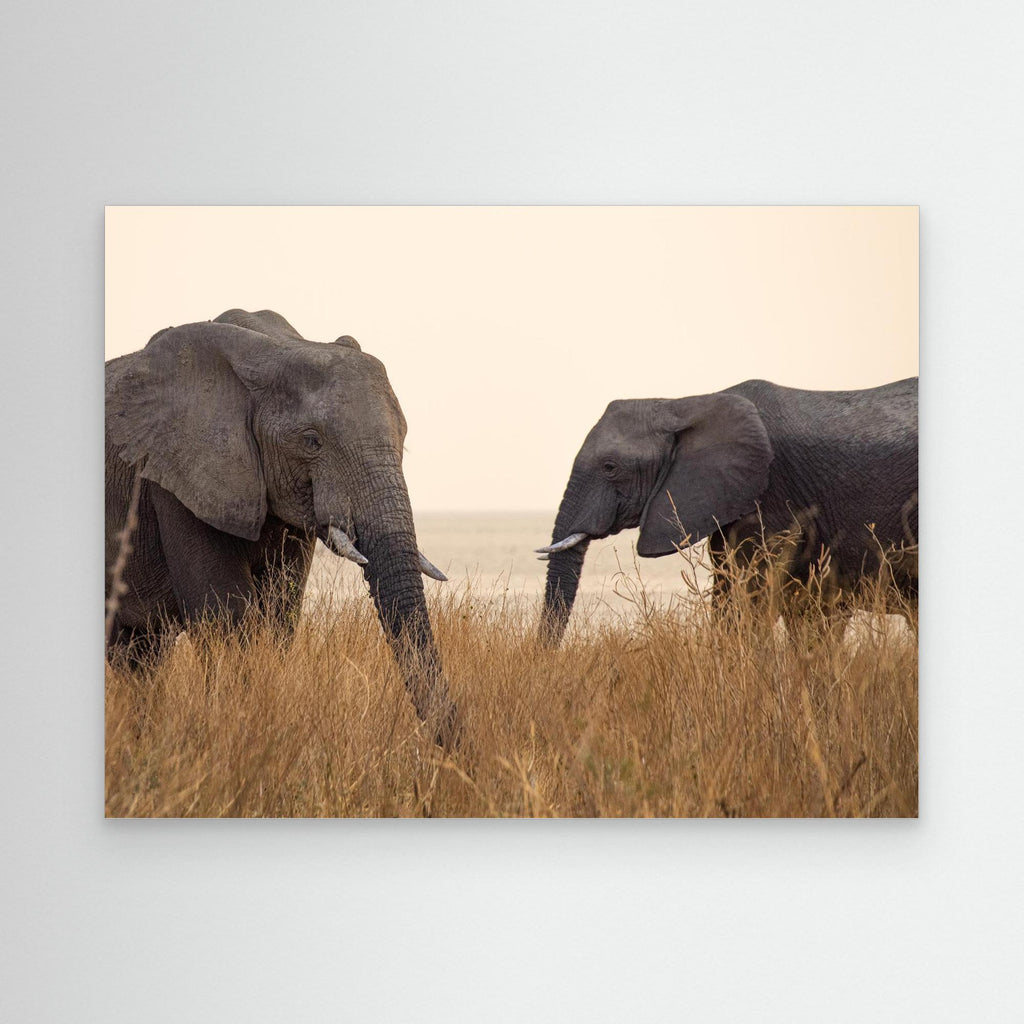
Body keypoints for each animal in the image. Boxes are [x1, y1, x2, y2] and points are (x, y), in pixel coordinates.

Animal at [105, 308, 456, 739]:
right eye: (311, 441)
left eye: (403, 439)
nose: (455, 748)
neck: (271, 350)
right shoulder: (174, 478)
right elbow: (226, 615)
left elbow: (280, 611)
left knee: (140, 658)